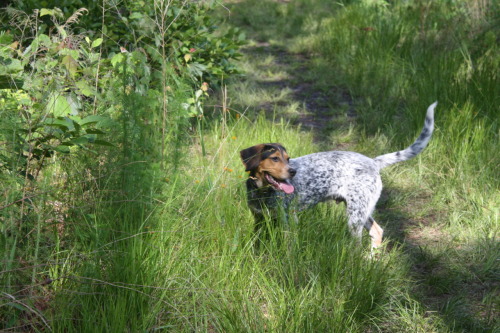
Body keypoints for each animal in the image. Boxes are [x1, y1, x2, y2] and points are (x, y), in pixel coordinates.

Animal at [240, 102, 436, 250]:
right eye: (274, 158)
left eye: (287, 159)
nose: (293, 171)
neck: (262, 193)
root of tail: (373, 162)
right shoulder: (259, 219)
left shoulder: (289, 220)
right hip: (362, 211)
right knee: (377, 232)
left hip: (355, 216)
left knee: (359, 245)